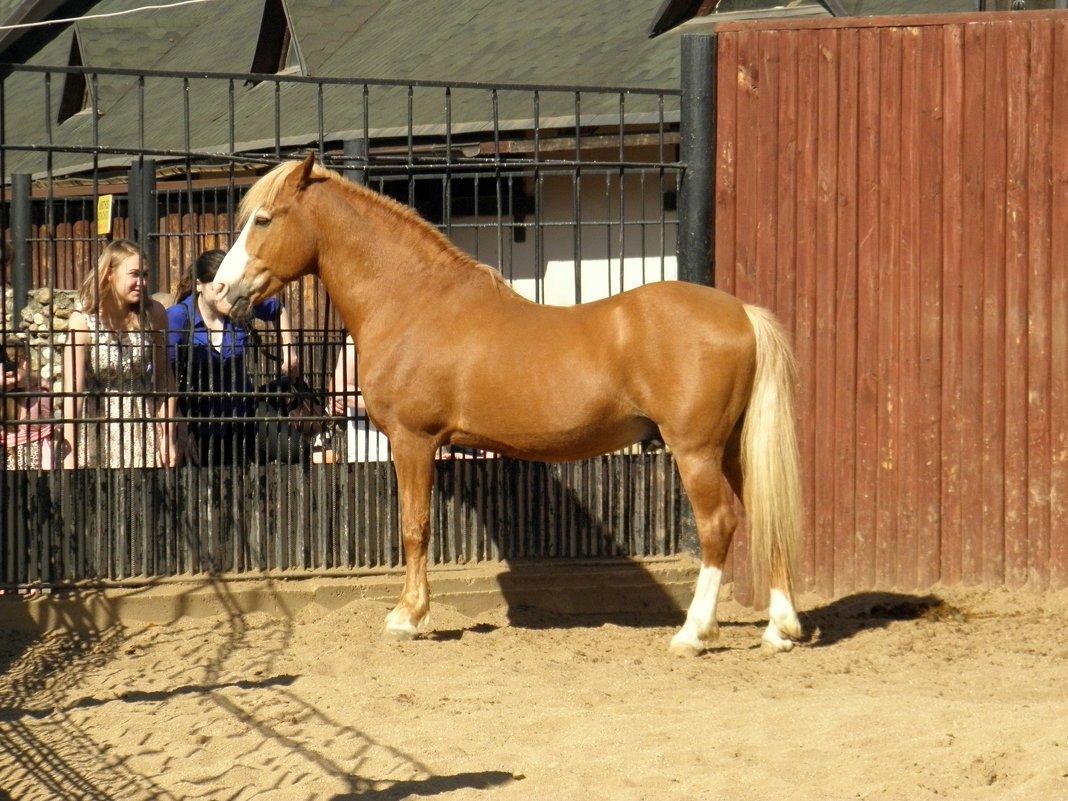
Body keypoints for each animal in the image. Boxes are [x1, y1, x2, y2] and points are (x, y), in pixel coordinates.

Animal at [216, 153, 803, 653]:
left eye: (263, 220)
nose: (219, 293)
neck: (412, 301)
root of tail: (741, 312)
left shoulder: (413, 441)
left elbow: (414, 526)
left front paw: (408, 617)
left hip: (696, 450)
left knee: (718, 524)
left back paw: (693, 633)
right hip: (732, 448)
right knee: (763, 514)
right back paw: (780, 629)